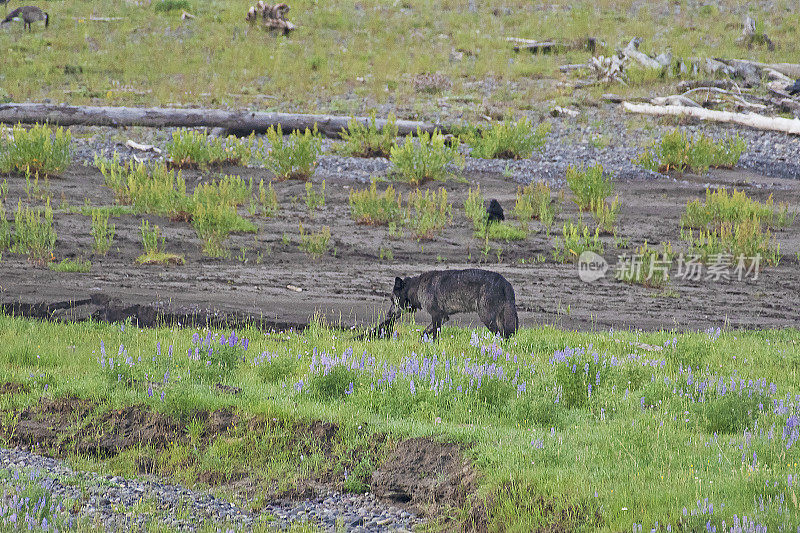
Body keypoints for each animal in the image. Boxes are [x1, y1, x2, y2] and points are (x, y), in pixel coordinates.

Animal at [386, 268, 520, 338]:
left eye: (393, 300)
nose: (388, 314)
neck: (416, 287)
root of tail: (505, 283)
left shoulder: (436, 316)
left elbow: (435, 336)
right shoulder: (443, 317)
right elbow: (425, 332)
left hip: (487, 318)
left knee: (500, 335)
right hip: (500, 319)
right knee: (505, 336)